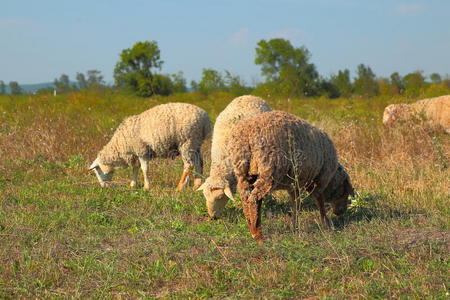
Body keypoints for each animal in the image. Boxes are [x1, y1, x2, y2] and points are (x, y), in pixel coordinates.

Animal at [229, 110, 356, 241]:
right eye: (345, 192)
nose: (341, 213)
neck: (331, 180)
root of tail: (247, 135)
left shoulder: (294, 184)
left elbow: (296, 203)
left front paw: (295, 226)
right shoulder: (318, 180)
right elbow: (319, 201)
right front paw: (326, 223)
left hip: (244, 173)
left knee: (246, 199)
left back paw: (251, 227)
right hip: (269, 171)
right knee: (254, 200)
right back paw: (258, 235)